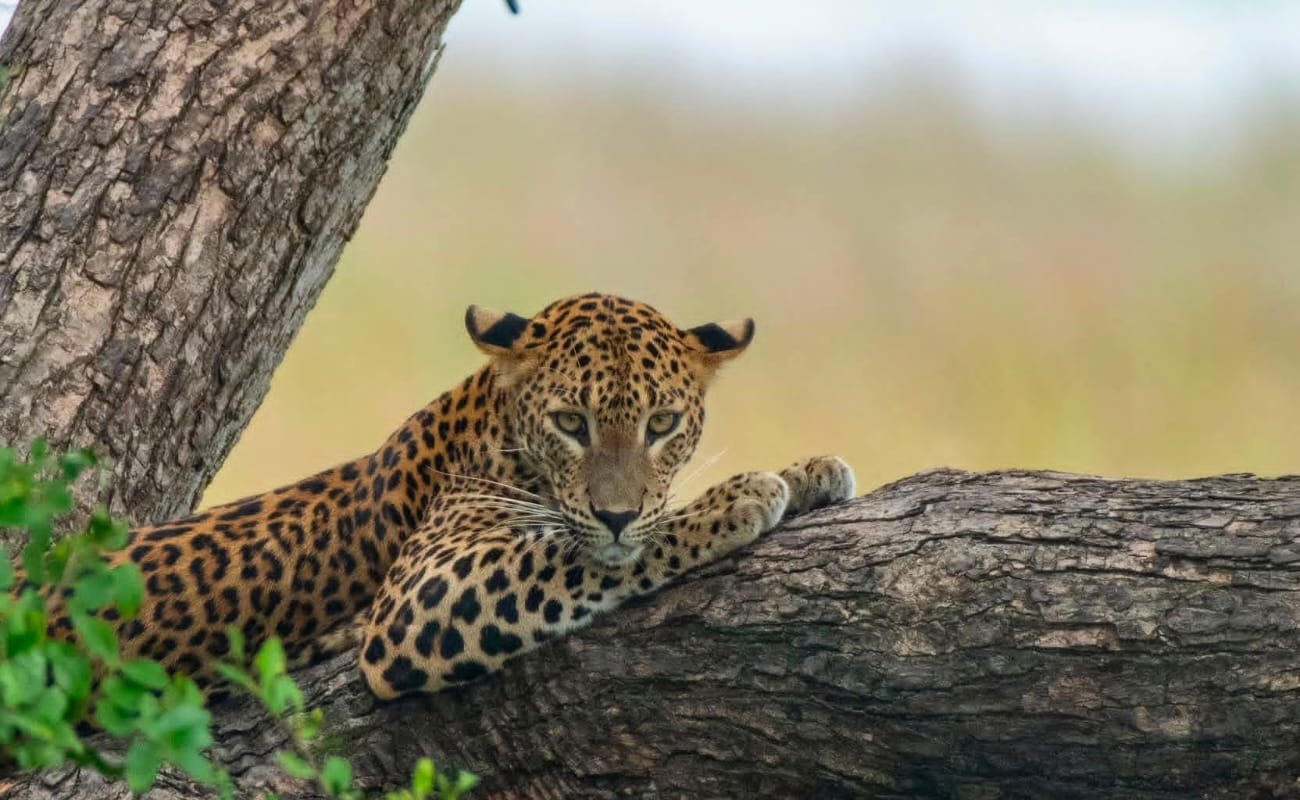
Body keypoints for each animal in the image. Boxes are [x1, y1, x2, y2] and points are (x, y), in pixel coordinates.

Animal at [40, 293, 855, 699]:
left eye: (662, 424)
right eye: (572, 422)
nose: (618, 513)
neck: (493, 424)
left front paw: (812, 472)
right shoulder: (418, 600)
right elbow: (576, 555)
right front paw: (738, 497)